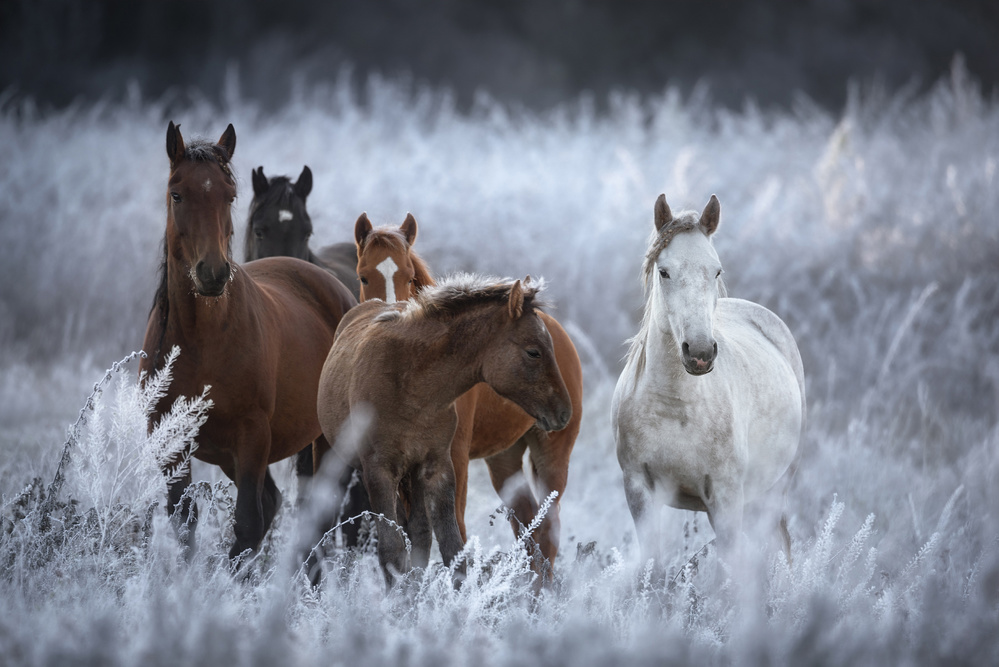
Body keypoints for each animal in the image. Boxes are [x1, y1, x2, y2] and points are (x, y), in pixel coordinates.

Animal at [140, 122, 356, 562]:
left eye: (230, 195)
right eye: (177, 193)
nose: (212, 273)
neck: (200, 341)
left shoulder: (252, 437)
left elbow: (247, 526)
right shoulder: (171, 440)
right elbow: (184, 522)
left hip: (324, 441)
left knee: (318, 515)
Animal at [348, 213, 584, 581]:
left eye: (409, 275)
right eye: (363, 275)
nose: (386, 313)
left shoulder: (452, 458)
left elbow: (454, 530)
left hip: (553, 454)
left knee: (548, 529)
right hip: (504, 459)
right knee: (528, 525)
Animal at [612, 194, 805, 572]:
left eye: (716, 270)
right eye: (664, 271)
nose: (700, 353)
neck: (675, 407)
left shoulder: (725, 497)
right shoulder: (639, 491)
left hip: (773, 490)